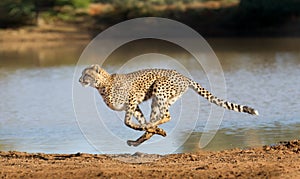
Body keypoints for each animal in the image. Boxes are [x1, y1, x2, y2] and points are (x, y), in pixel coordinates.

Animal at [79, 64, 258, 147]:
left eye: (86, 74)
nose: (79, 80)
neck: (102, 85)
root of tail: (183, 76)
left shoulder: (132, 99)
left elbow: (128, 122)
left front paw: (146, 127)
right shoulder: (134, 105)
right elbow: (139, 121)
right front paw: (151, 130)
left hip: (159, 89)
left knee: (166, 115)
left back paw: (152, 128)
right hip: (159, 100)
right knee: (160, 117)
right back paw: (145, 136)